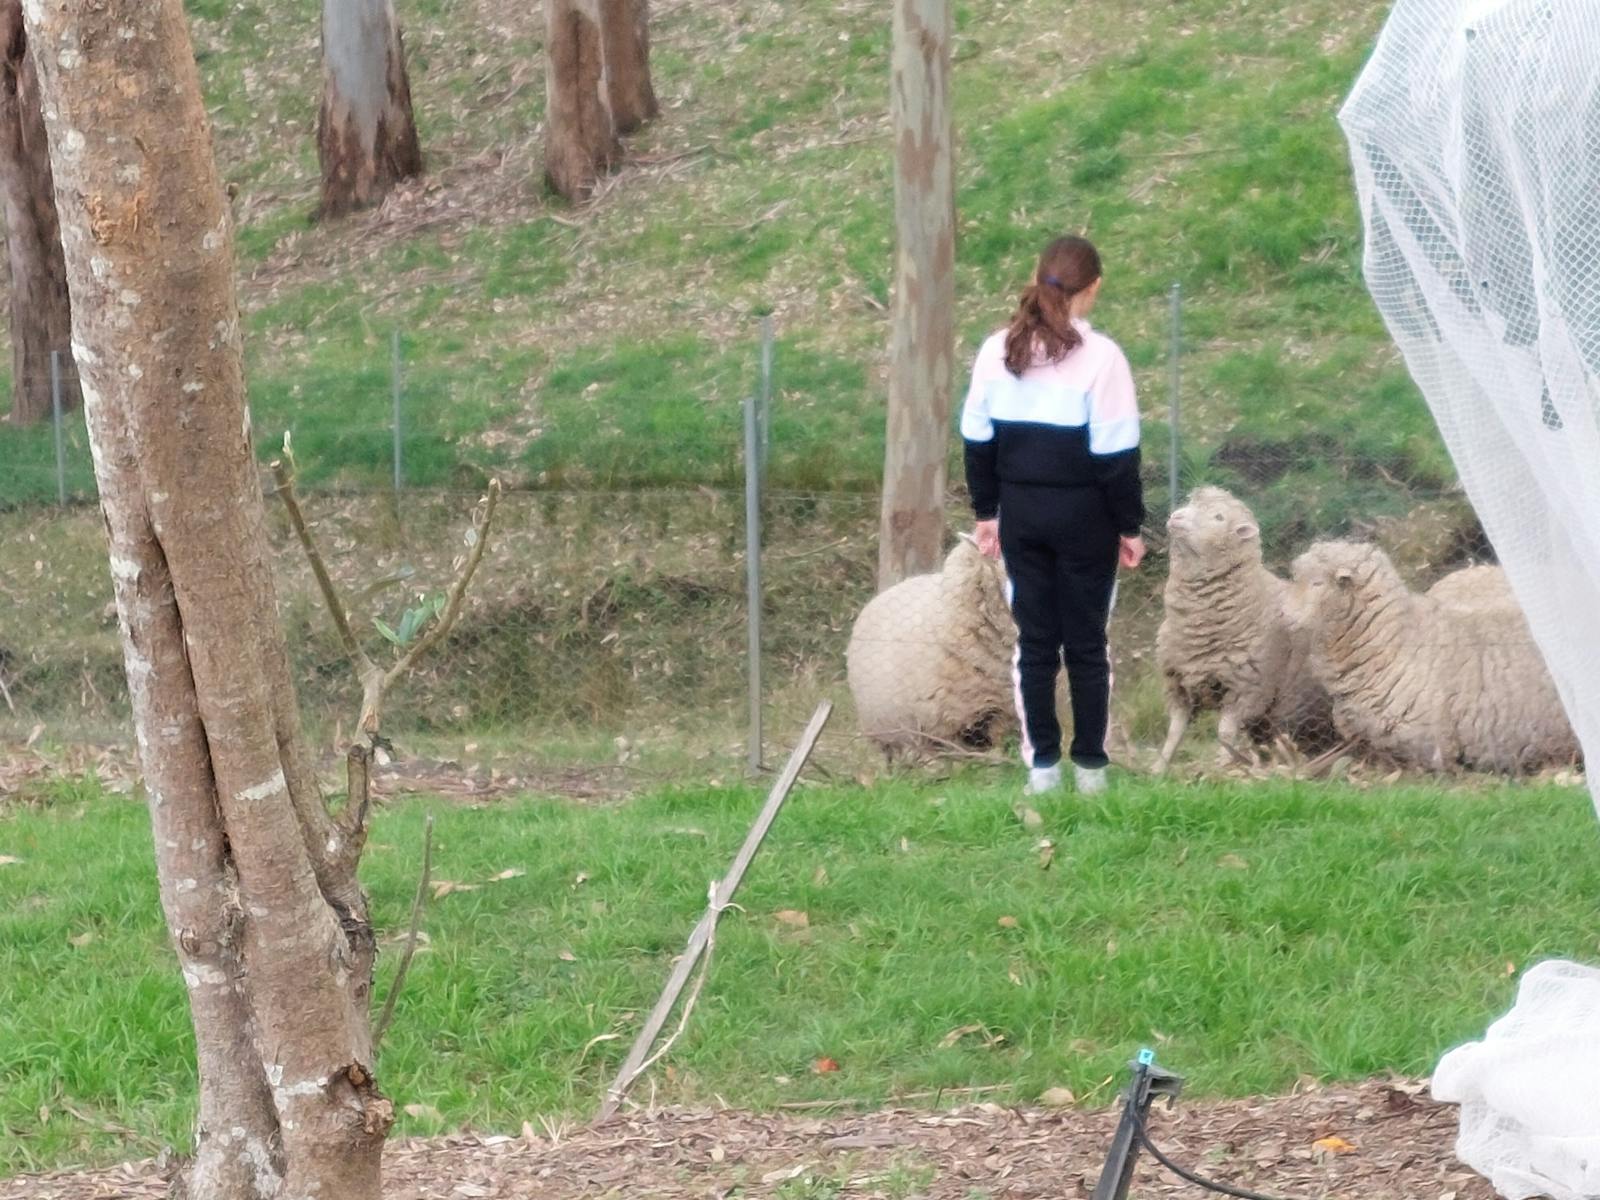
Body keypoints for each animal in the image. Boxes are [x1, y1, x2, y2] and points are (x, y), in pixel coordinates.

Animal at [1153, 487, 1333, 774]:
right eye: (1190, 502)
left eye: (1218, 517)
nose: (1176, 516)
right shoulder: (1177, 684)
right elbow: (1174, 732)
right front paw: (1159, 767)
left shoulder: (1246, 690)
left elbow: (1225, 733)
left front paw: (1221, 769)